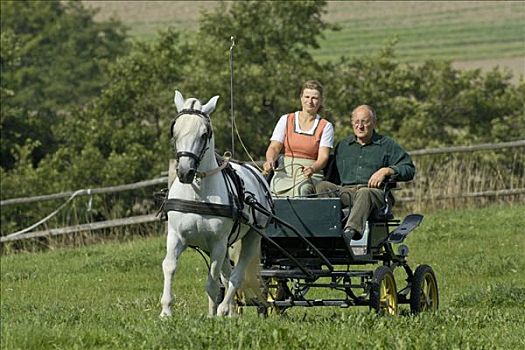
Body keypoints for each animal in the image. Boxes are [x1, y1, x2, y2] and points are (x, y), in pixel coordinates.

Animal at [161, 90, 272, 318]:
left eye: (204, 134)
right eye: (174, 132)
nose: (185, 172)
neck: (198, 192)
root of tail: (257, 173)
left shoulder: (218, 243)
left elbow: (212, 282)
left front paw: (215, 315)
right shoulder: (175, 236)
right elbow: (169, 266)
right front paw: (166, 310)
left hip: (252, 237)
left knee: (236, 275)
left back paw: (224, 310)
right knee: (227, 274)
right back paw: (231, 312)